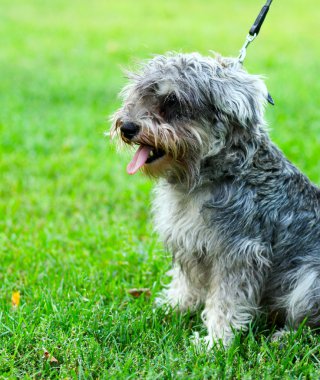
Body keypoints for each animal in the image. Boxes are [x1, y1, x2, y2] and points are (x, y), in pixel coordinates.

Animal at [111, 52, 320, 348]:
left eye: (172, 101)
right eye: (140, 95)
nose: (127, 127)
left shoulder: (239, 253)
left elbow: (226, 301)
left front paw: (216, 342)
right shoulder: (189, 242)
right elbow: (186, 282)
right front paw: (173, 306)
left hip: (309, 280)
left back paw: (284, 337)